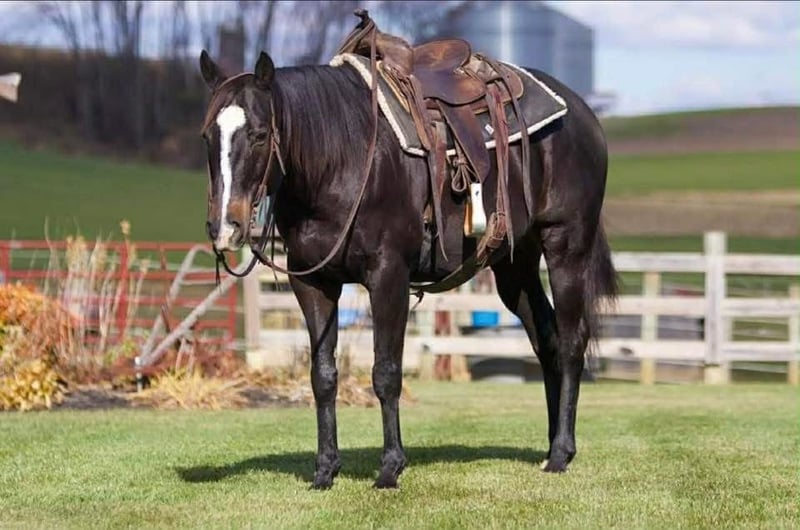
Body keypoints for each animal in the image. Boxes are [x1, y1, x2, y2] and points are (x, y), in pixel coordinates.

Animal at [198, 43, 617, 489]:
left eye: (260, 135)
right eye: (207, 136)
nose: (225, 226)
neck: (342, 158)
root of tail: (583, 114)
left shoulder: (388, 277)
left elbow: (386, 372)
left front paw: (390, 467)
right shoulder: (313, 283)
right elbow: (323, 376)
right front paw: (325, 470)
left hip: (566, 246)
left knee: (572, 341)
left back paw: (561, 453)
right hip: (514, 267)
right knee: (547, 339)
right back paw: (553, 446)